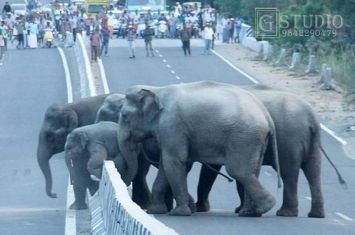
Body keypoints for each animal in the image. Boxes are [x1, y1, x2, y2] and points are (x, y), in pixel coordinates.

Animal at [118, 81, 282, 217]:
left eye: (125, 116)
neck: (157, 90)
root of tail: (266, 115)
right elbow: (166, 164)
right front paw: (156, 211)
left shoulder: (172, 125)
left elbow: (174, 161)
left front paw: (179, 213)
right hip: (256, 139)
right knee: (253, 170)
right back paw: (250, 212)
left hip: (244, 137)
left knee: (237, 170)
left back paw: (266, 206)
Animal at [195, 83, 348, 218]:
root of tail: (311, 116)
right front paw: (242, 209)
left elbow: (213, 168)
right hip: (310, 142)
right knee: (313, 172)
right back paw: (315, 215)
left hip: (290, 140)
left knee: (288, 172)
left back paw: (285, 213)